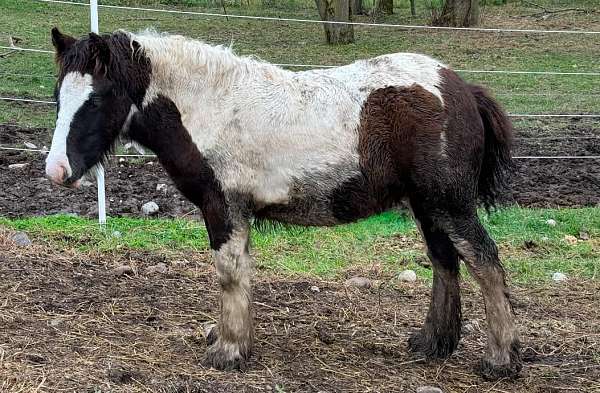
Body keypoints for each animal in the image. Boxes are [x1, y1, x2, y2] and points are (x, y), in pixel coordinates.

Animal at [47, 28, 524, 380]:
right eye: (57, 96)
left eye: (97, 97)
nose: (56, 170)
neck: (212, 107)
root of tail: (461, 87)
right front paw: (234, 341)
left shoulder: (225, 207)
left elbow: (229, 272)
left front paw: (228, 351)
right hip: (428, 206)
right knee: (445, 262)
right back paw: (433, 344)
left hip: (449, 203)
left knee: (484, 261)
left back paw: (500, 360)